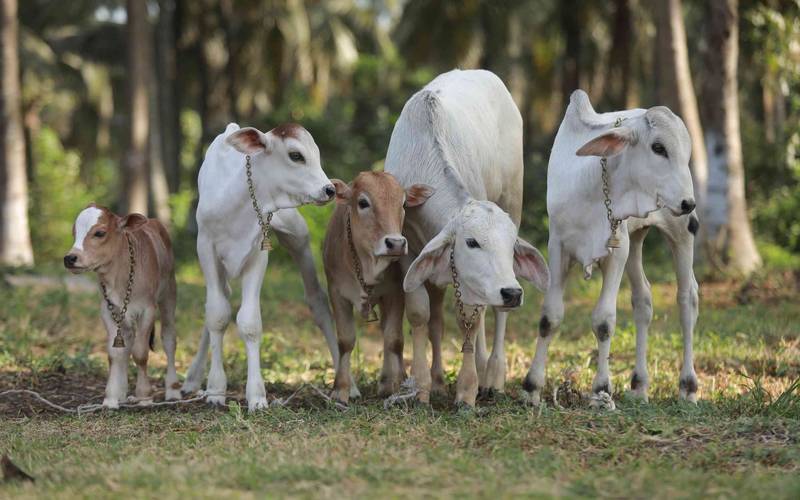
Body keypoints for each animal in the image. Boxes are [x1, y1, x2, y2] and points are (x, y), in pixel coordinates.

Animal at [64, 204, 179, 409]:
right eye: (74, 232)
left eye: (99, 233)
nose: (70, 258)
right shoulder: (108, 311)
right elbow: (115, 353)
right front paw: (111, 398)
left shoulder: (147, 310)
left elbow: (140, 353)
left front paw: (145, 396)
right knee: (128, 342)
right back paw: (123, 394)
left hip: (169, 294)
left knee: (169, 339)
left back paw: (173, 390)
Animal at [180, 123, 337, 411]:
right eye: (296, 155)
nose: (329, 189)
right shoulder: (206, 248)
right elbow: (217, 315)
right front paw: (216, 389)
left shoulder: (258, 253)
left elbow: (249, 322)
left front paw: (256, 395)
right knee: (218, 303)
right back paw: (193, 377)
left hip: (297, 234)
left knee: (317, 300)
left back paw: (347, 383)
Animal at [323, 172, 433, 404]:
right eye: (363, 202)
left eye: (403, 204)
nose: (396, 243)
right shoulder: (336, 292)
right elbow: (345, 341)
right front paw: (341, 389)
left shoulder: (395, 293)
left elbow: (394, 340)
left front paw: (396, 384)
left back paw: (387, 380)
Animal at [385, 69, 550, 408]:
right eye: (471, 242)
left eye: (511, 246)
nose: (512, 292)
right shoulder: (408, 252)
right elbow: (420, 314)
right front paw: (421, 386)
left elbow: (471, 321)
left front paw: (467, 389)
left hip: (514, 198)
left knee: (495, 314)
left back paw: (493, 375)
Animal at [522, 89, 699, 408]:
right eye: (658, 147)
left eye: (686, 152)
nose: (688, 202)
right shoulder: (558, 247)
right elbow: (549, 317)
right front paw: (532, 388)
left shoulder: (617, 252)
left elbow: (604, 321)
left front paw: (601, 391)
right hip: (637, 238)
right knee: (643, 299)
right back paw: (639, 386)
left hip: (681, 231)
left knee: (687, 298)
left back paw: (688, 386)